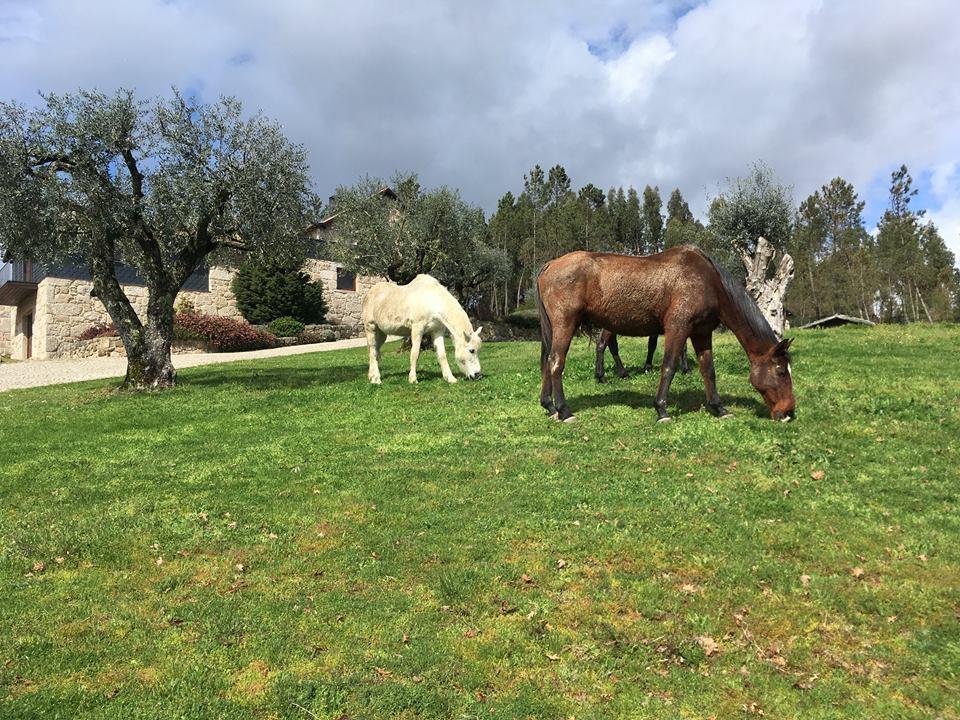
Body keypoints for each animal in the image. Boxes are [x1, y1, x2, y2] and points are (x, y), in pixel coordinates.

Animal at [540, 248, 796, 424]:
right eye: (781, 371)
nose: (789, 412)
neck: (708, 282)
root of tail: (550, 264)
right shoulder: (677, 328)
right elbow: (669, 366)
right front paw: (661, 409)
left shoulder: (702, 333)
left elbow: (708, 370)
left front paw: (719, 408)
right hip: (565, 324)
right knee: (556, 363)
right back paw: (564, 411)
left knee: (547, 361)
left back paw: (549, 407)